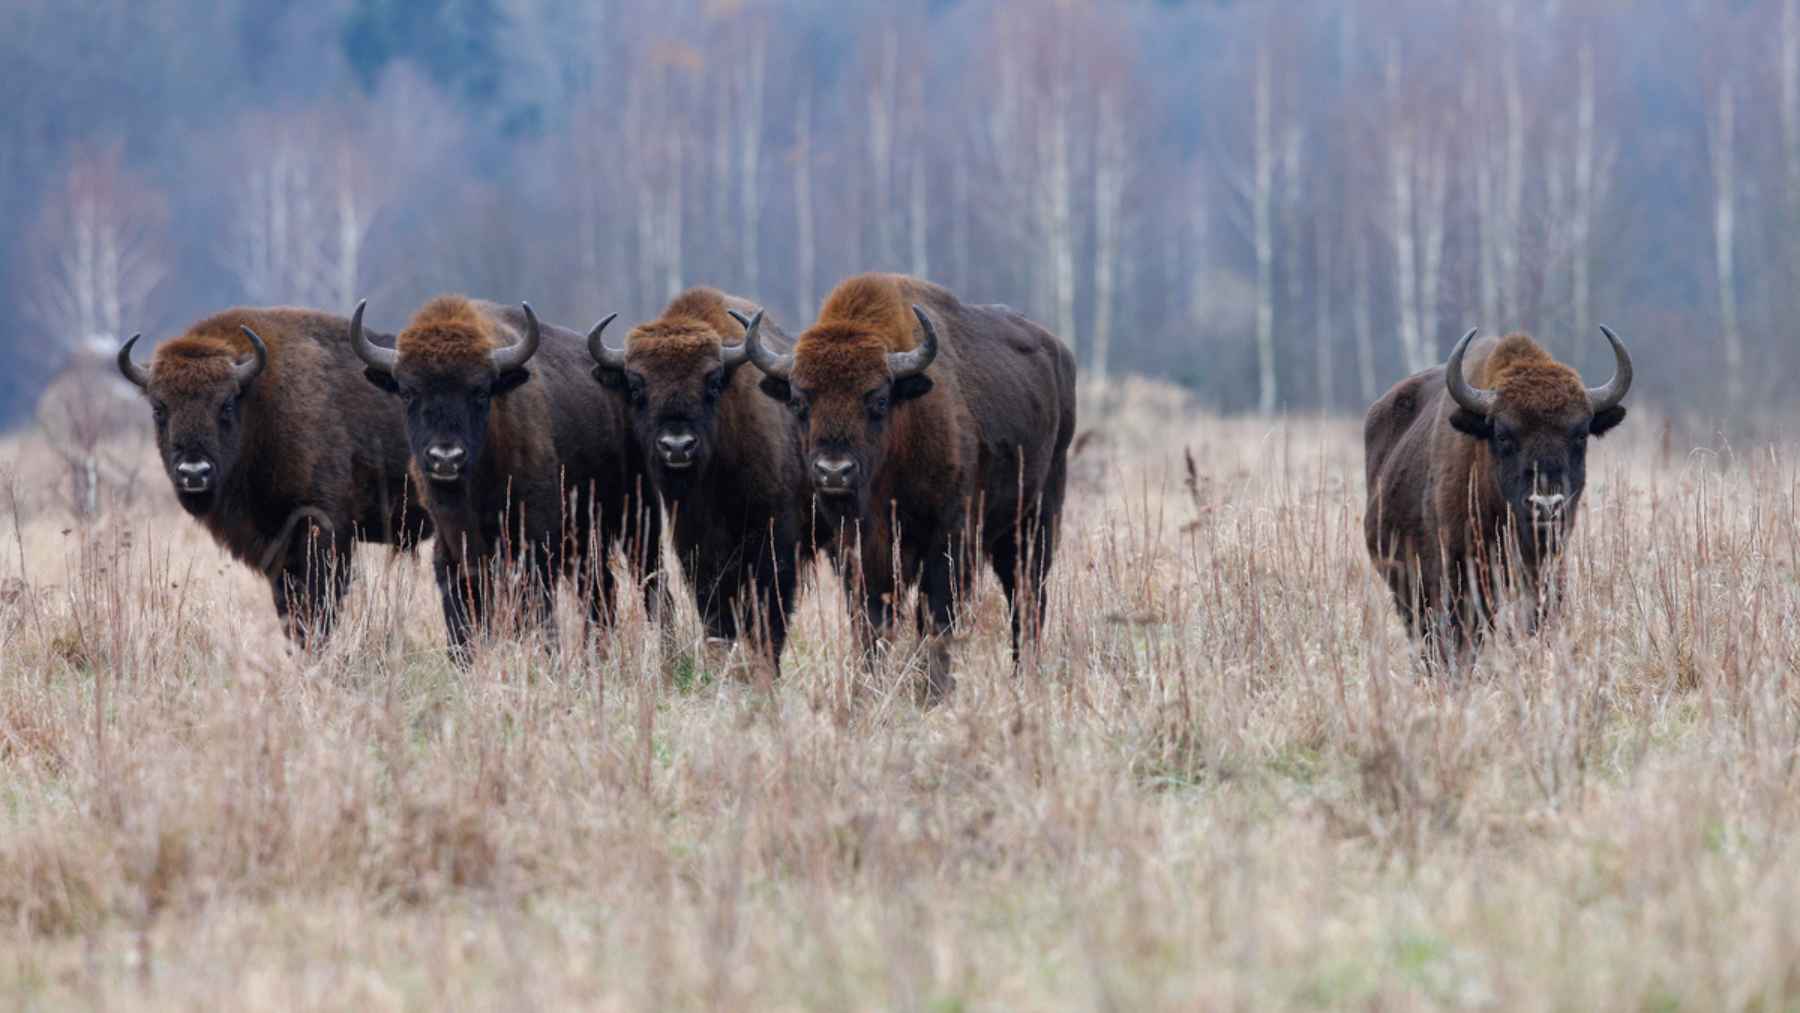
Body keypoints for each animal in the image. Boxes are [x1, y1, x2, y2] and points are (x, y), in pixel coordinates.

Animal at [117, 308, 429, 644]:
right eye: (159, 408)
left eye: (226, 404)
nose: (194, 472)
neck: (260, 401)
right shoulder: (278, 550)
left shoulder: (324, 531)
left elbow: (320, 606)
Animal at [351, 297, 662, 658]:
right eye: (407, 392)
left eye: (480, 391)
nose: (446, 458)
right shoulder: (453, 553)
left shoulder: (534, 546)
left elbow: (536, 615)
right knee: (600, 592)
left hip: (641, 521)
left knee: (652, 582)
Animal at [589, 288, 812, 670]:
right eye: (636, 385)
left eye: (713, 381)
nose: (677, 446)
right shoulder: (694, 542)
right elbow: (714, 608)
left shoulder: (774, 540)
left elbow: (770, 609)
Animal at [742, 273, 1077, 698]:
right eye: (800, 401)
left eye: (879, 400)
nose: (834, 472)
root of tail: (1058, 353)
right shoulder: (857, 548)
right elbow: (872, 619)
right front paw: (869, 686)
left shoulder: (950, 537)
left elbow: (936, 616)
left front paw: (934, 691)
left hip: (1037, 518)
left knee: (1027, 596)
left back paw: (1025, 677)